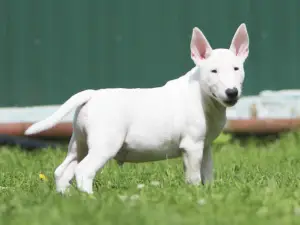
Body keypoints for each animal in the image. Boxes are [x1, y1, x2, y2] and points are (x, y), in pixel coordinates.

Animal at [25, 24, 248, 193]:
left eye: (236, 68)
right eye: (213, 71)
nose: (232, 92)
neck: (202, 96)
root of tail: (91, 94)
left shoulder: (205, 145)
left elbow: (208, 172)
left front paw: (209, 194)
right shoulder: (191, 146)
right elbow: (193, 177)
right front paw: (194, 195)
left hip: (79, 143)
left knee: (63, 171)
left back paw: (67, 198)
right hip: (105, 143)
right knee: (83, 170)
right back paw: (90, 198)